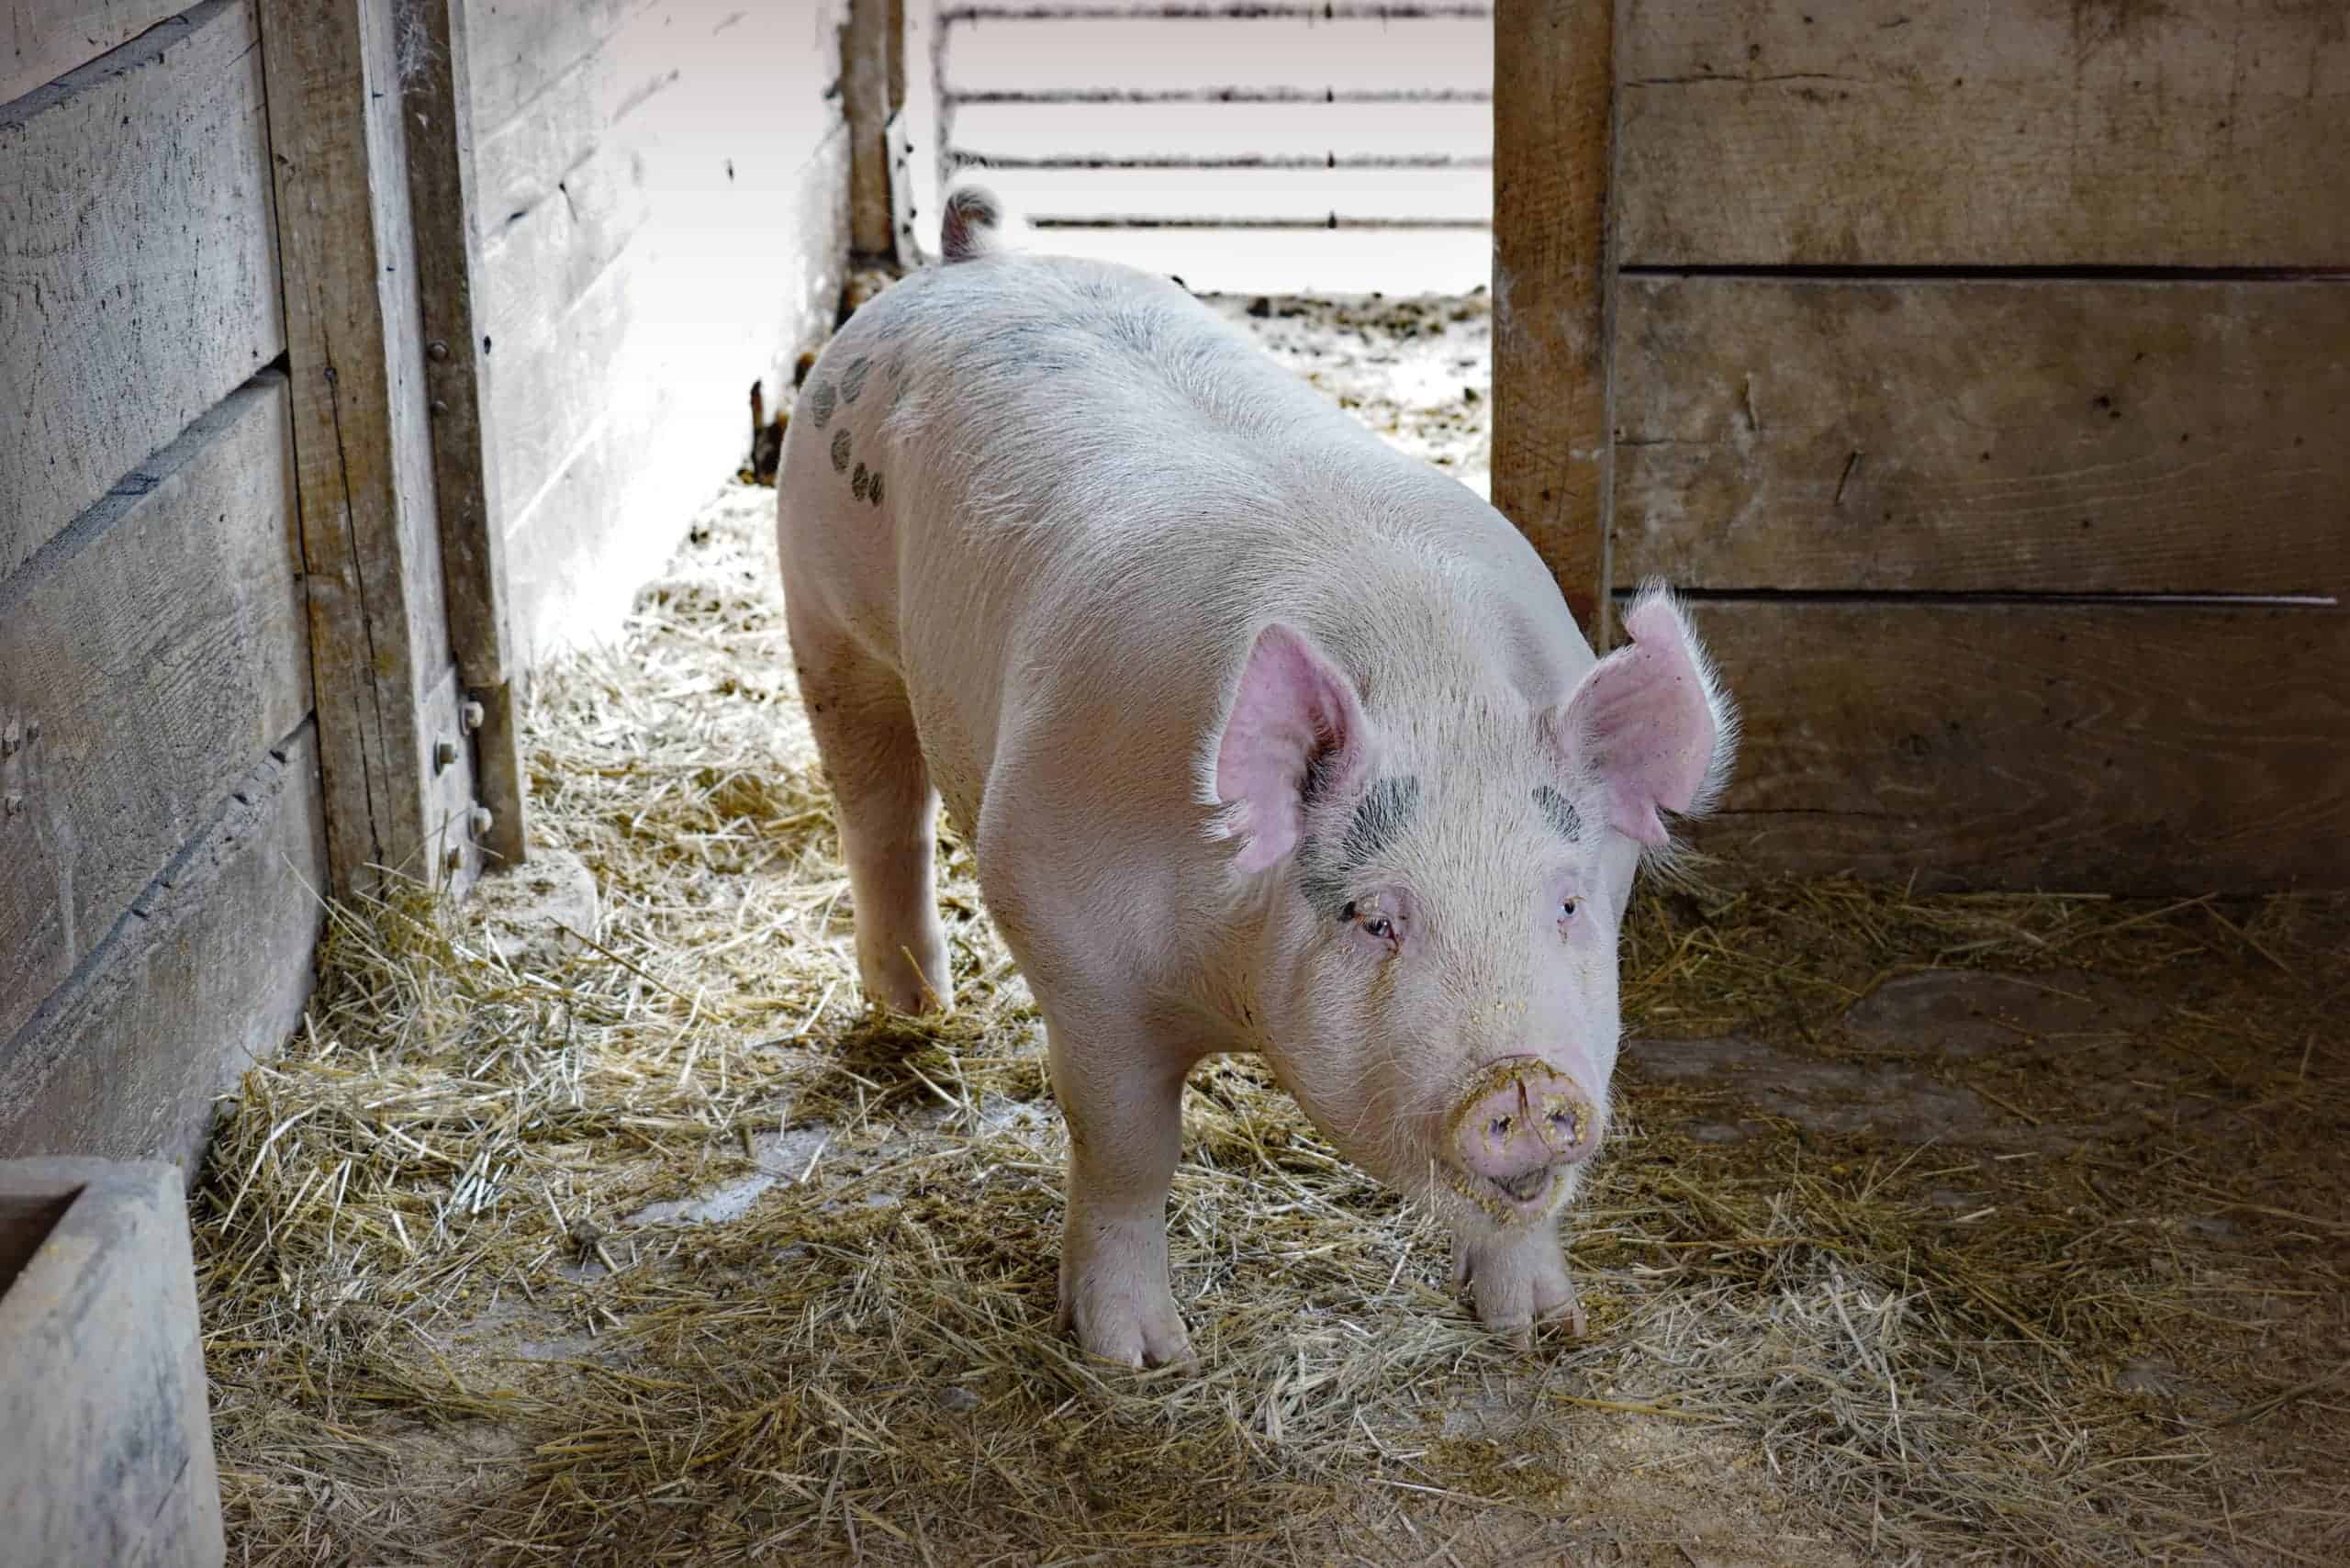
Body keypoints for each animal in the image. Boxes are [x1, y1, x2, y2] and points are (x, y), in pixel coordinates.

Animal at [775, 184, 1736, 1368]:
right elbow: (1125, 1147)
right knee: (878, 806)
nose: (1521, 1081)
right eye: (1374, 918)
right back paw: (914, 1004)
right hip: (821, 602)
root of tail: (975, 259)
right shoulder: (1070, 942)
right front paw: (1137, 1359)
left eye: (1564, 901)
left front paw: (1540, 1327)